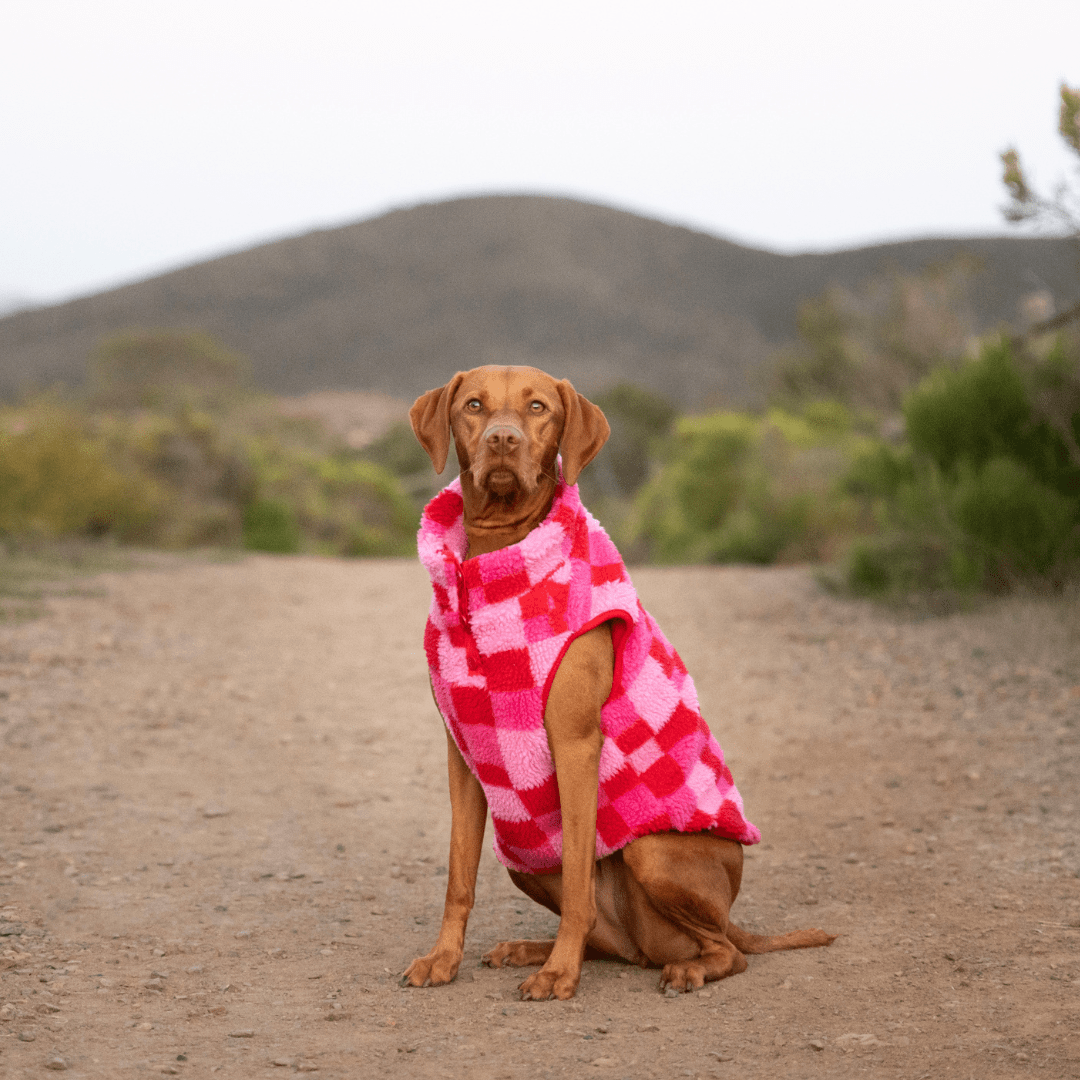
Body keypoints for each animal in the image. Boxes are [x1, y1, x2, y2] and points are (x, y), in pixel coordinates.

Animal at [406, 367, 833, 997]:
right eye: (474, 406)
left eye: (538, 407)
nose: (503, 440)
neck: (495, 561)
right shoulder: (465, 753)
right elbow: (459, 877)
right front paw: (443, 958)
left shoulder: (574, 744)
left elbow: (579, 883)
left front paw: (561, 975)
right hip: (526, 855)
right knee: (616, 943)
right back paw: (530, 949)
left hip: (652, 854)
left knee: (725, 951)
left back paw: (680, 967)